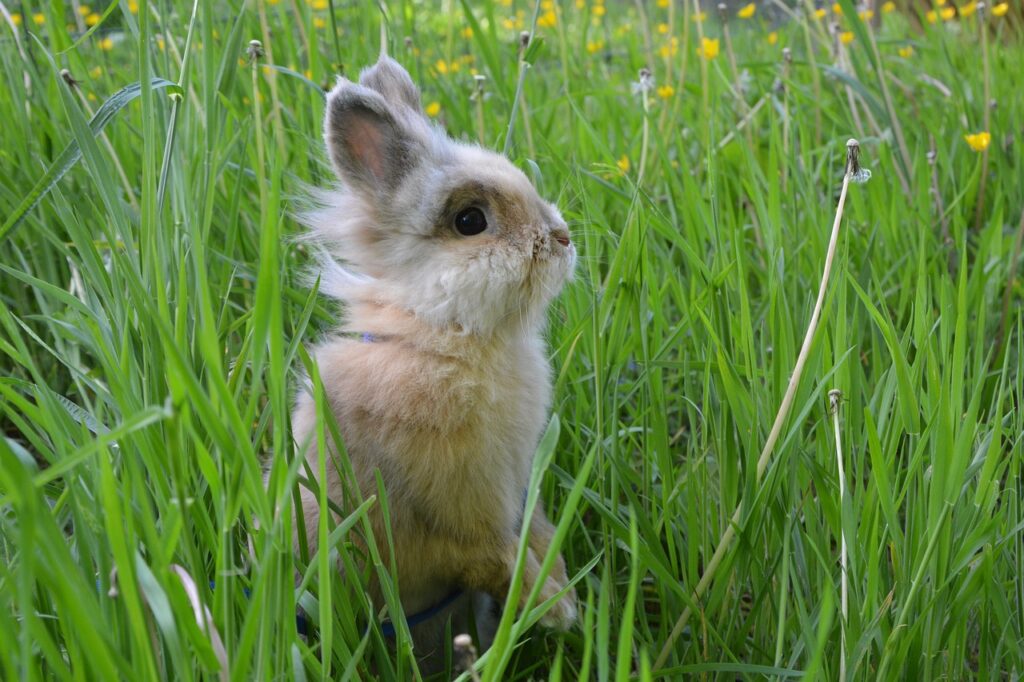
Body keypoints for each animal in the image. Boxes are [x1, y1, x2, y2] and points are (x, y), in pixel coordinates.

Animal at [291, 54, 578, 665]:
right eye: (470, 221)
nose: (562, 238)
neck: (444, 337)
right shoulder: (456, 523)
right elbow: (498, 558)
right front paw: (556, 608)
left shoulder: (518, 490)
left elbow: (537, 533)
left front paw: (562, 592)